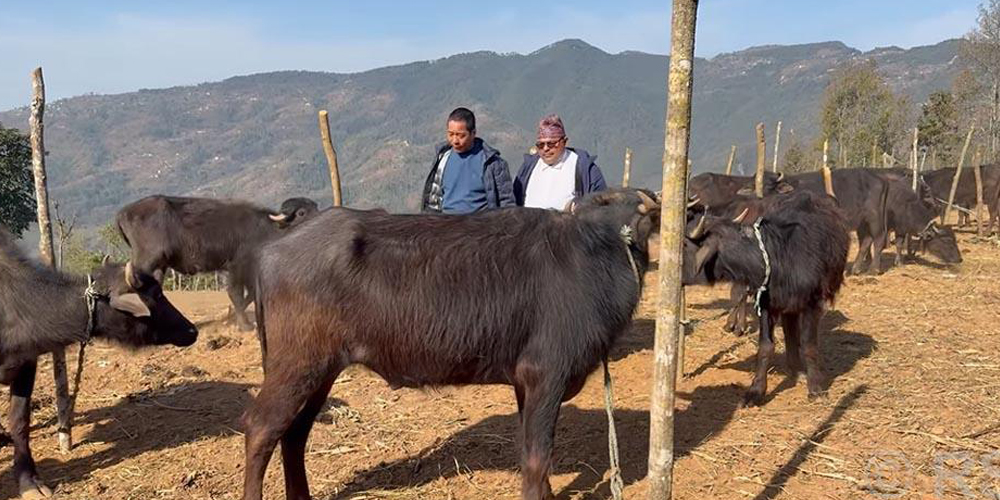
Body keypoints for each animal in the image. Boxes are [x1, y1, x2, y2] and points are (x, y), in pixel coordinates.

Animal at [116, 195, 318, 331]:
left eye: (315, 207)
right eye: (301, 212)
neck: (267, 229)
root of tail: (123, 213)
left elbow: (251, 295)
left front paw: (233, 318)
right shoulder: (237, 267)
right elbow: (236, 295)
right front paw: (244, 325)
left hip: (159, 265)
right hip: (146, 260)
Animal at [240, 189, 660, 500]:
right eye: (603, 205)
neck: (590, 257)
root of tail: (270, 252)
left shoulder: (525, 385)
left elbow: (531, 450)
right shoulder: (545, 375)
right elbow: (539, 456)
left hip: (320, 370)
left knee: (293, 434)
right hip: (297, 365)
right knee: (261, 428)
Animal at [683, 191, 849, 405]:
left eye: (685, 245)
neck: (778, 257)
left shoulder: (812, 304)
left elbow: (809, 346)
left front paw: (816, 388)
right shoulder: (766, 304)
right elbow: (765, 346)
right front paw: (756, 391)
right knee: (789, 327)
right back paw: (794, 366)